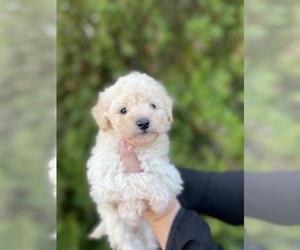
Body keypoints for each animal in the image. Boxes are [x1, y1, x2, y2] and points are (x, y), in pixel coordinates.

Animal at [86, 72, 183, 250]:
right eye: (123, 110)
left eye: (152, 106)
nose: (143, 123)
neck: (137, 147)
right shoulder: (102, 179)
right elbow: (136, 179)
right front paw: (133, 208)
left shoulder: (170, 172)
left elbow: (159, 175)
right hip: (122, 234)